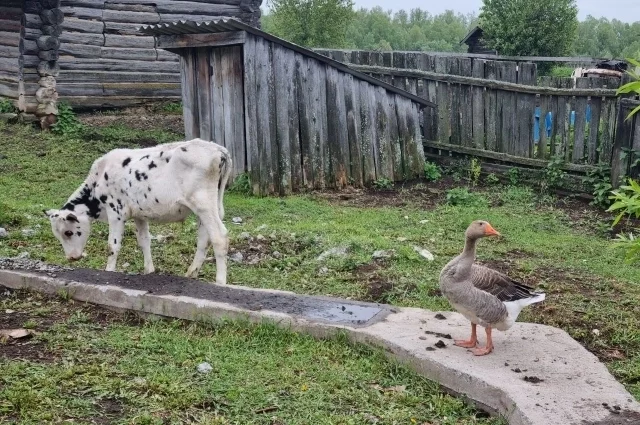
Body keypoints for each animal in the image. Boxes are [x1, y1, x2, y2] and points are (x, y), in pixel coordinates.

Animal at [47, 139, 232, 284]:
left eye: (68, 232)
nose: (71, 257)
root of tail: (218, 149)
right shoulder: (139, 214)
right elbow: (144, 241)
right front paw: (149, 271)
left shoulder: (116, 212)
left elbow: (112, 246)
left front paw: (108, 271)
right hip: (208, 207)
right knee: (204, 239)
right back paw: (191, 274)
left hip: (203, 203)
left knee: (219, 237)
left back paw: (220, 282)